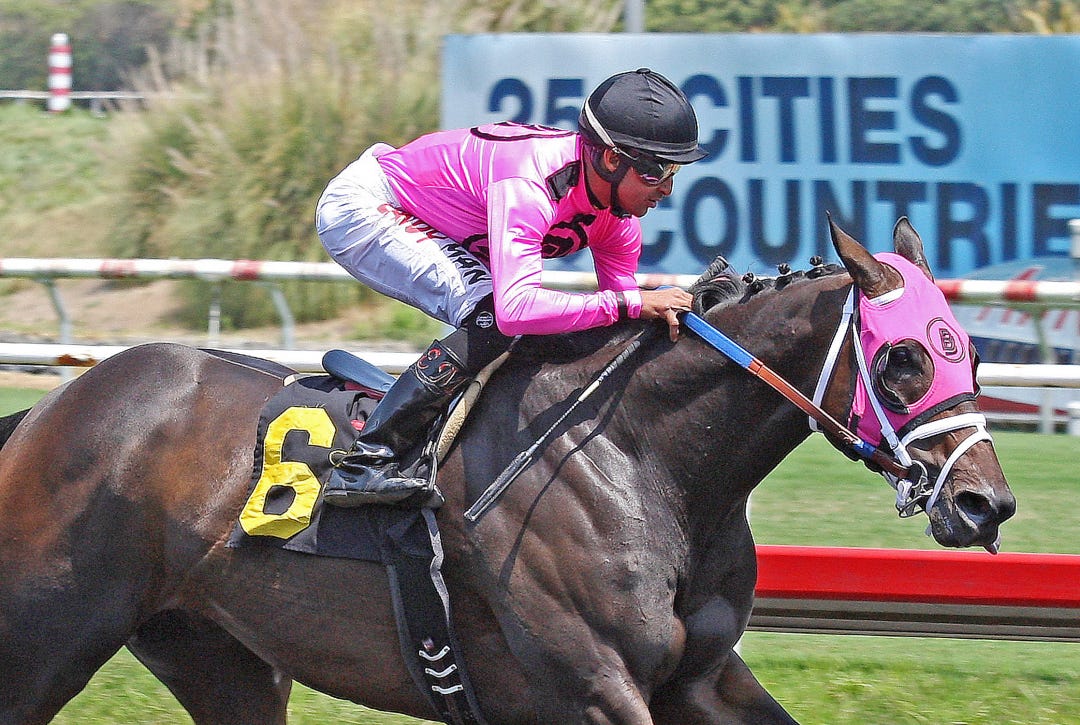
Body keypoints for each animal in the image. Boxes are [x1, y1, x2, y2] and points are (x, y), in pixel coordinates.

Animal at [0, 217, 1015, 725]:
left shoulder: (700, 678)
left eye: (967, 351)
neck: (647, 461)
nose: (986, 502)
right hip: (48, 637)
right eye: (902, 360)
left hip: (219, 656)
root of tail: (46, 413)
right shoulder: (592, 686)